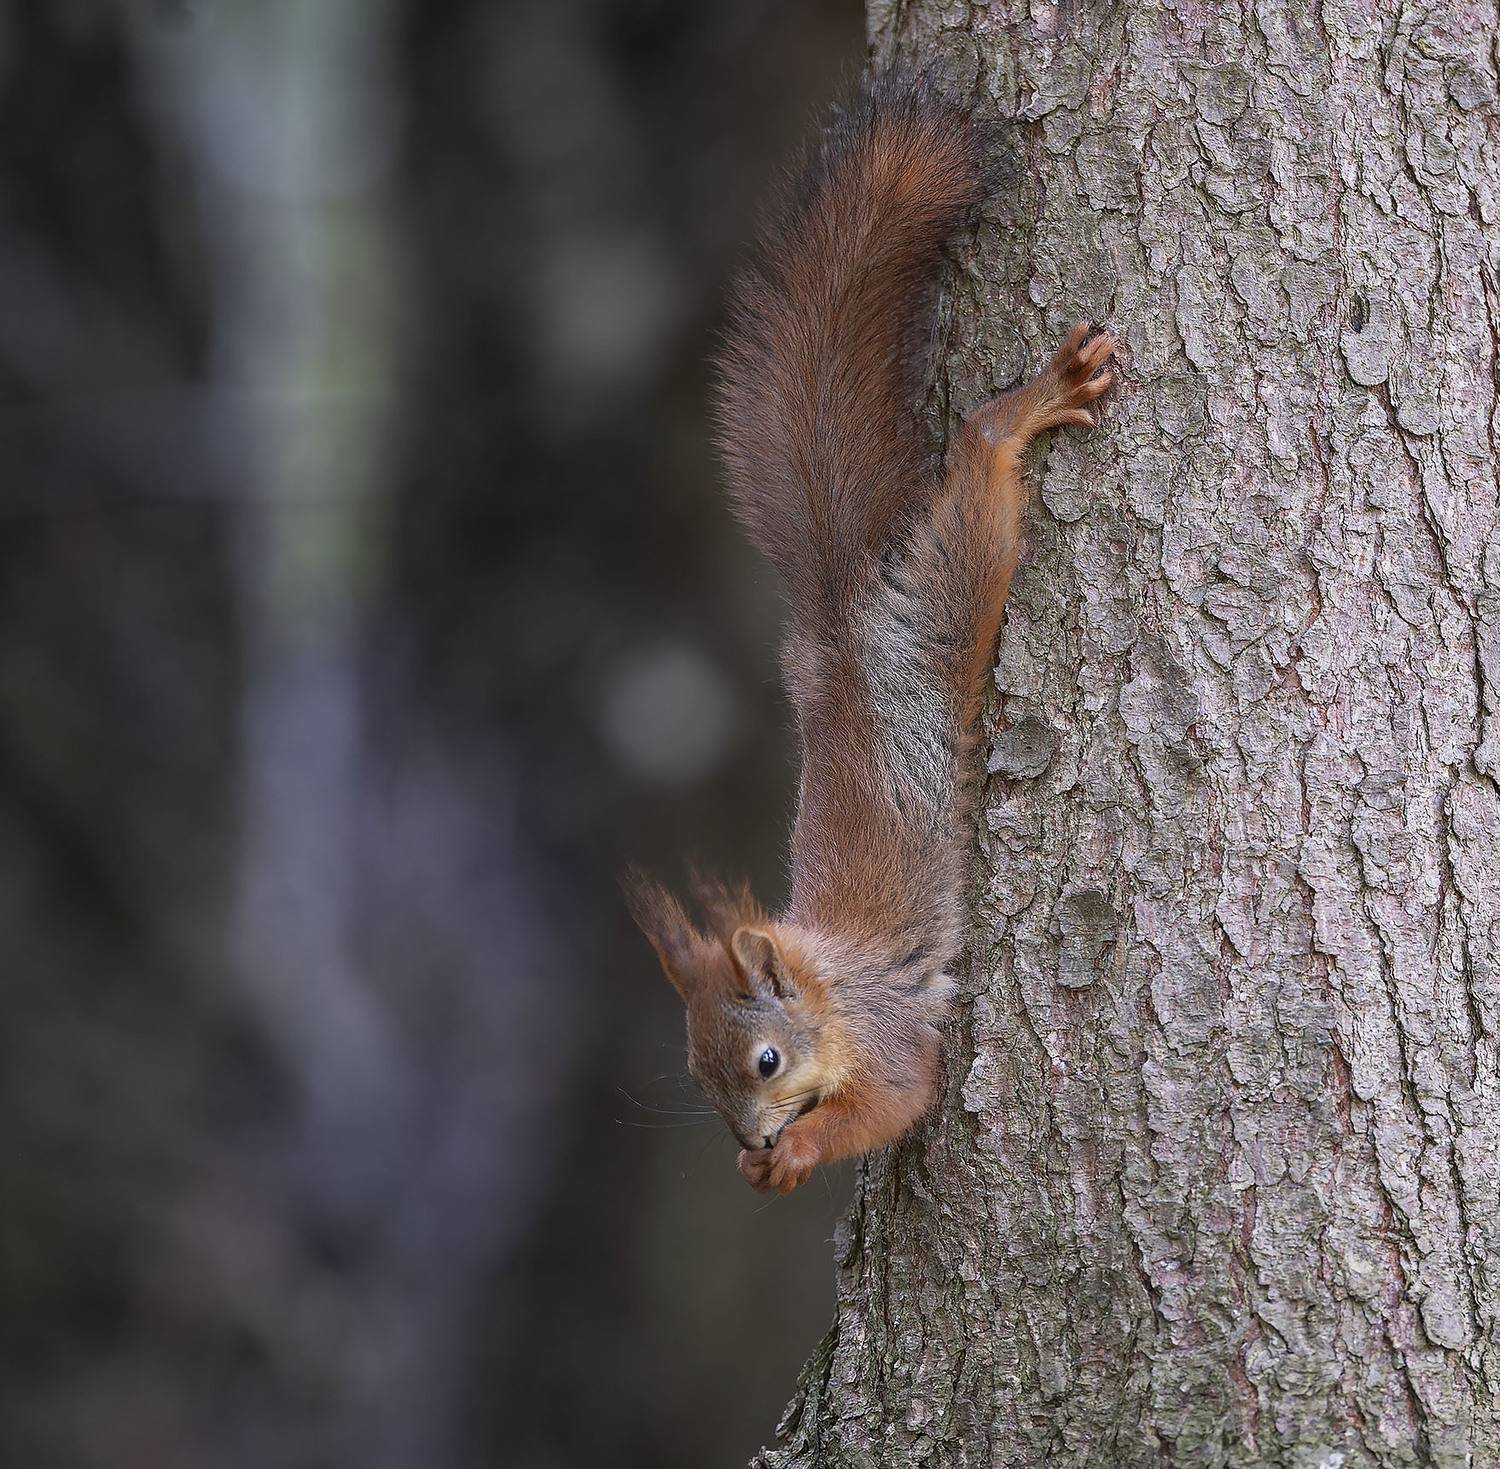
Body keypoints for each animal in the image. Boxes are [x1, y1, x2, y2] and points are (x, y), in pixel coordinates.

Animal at [629, 76, 1117, 1195]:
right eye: (697, 1074)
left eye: (767, 1058)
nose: (756, 1140)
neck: (823, 988)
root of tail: (840, 635)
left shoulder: (888, 1031)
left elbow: (900, 1096)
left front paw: (798, 1154)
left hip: (946, 609)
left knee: (979, 461)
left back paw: (1026, 407)